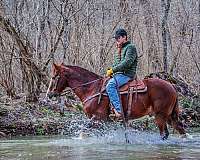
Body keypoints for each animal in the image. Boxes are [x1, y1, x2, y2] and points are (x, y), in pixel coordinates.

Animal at [47, 63, 186, 139]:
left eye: (55, 77)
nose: (49, 94)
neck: (92, 88)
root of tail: (172, 87)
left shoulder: (97, 118)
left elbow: (83, 132)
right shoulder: (100, 122)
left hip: (160, 116)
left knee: (164, 134)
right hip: (169, 116)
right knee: (180, 129)